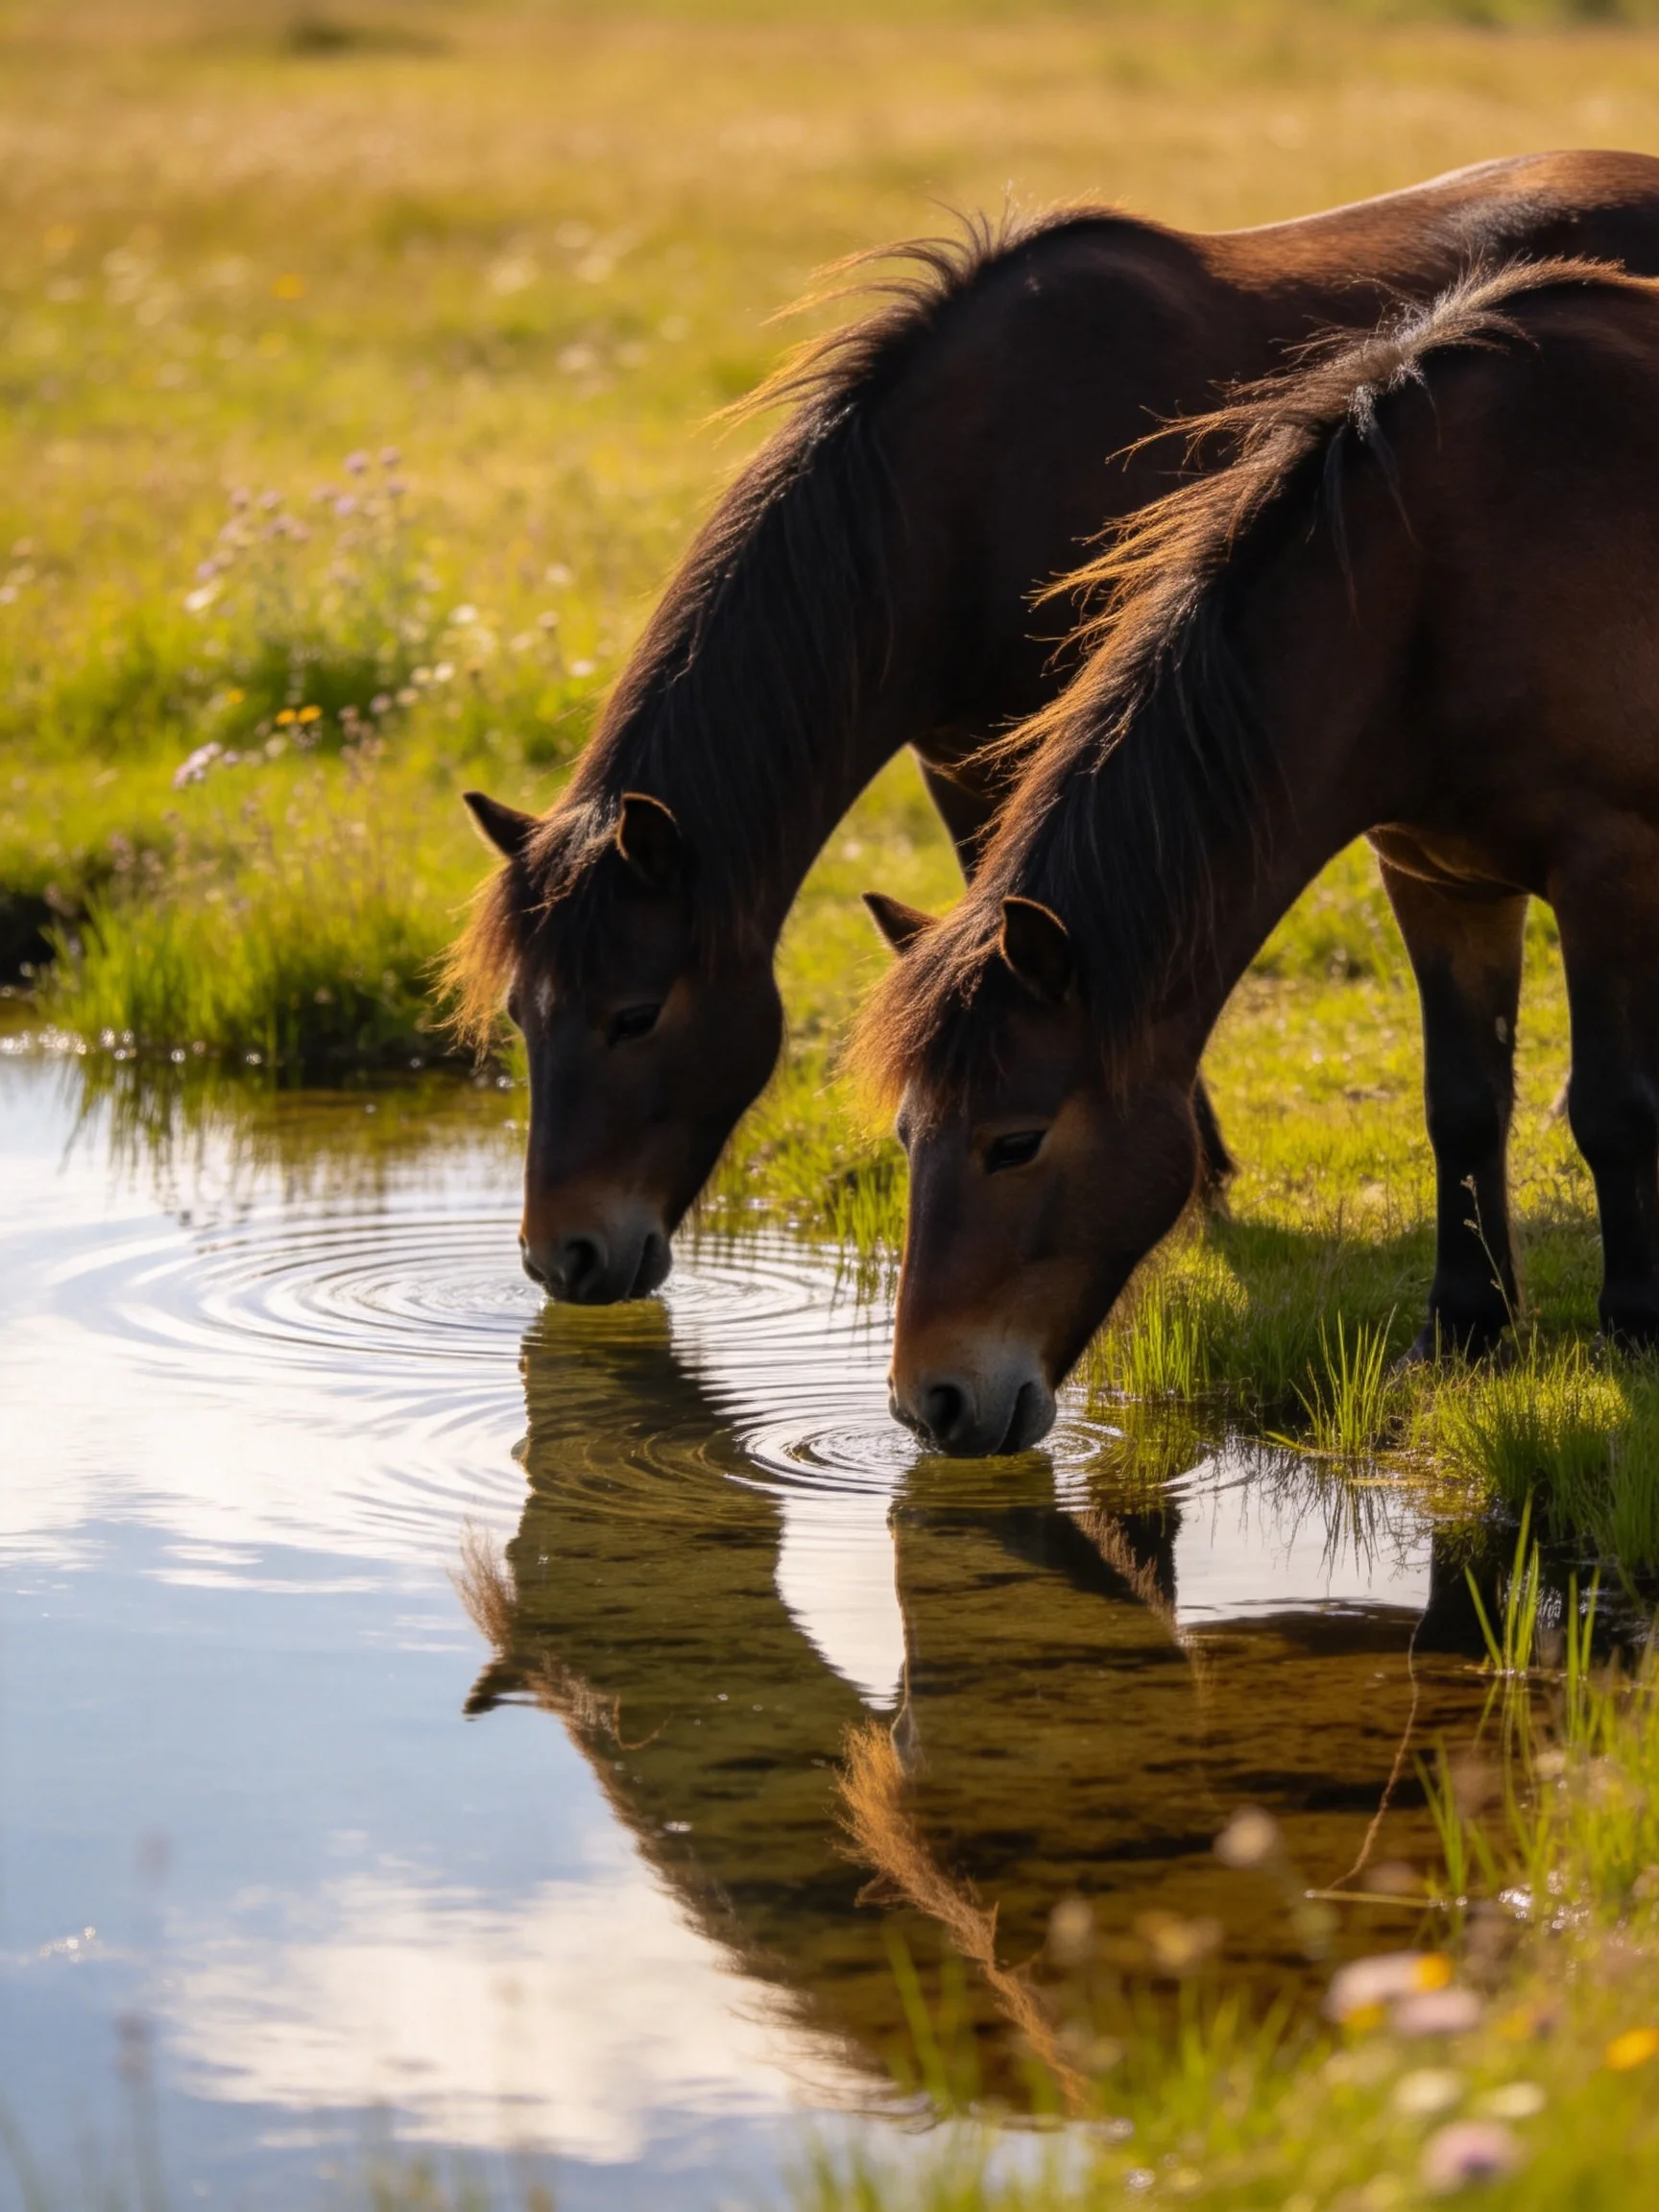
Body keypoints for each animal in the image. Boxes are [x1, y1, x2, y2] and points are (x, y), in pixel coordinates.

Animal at [857, 257, 1659, 1455]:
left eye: (1017, 1141)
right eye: (910, 1136)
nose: (934, 1405)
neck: (1446, 580)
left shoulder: (1608, 869)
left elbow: (1613, 1108)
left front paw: (1634, 1332)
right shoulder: (1438, 879)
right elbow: (1463, 1101)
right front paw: (1462, 1332)